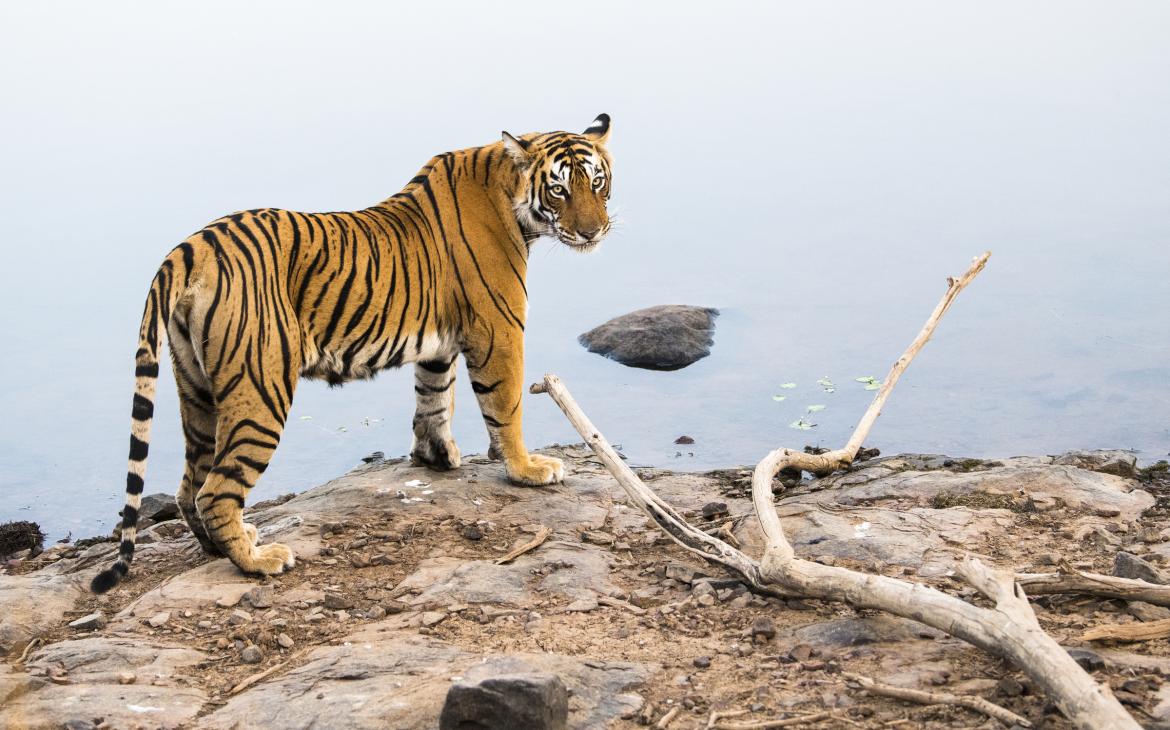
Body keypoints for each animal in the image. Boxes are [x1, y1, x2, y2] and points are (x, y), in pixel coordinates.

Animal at [91, 112, 613, 594]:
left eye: (597, 182)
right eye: (559, 190)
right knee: (216, 491)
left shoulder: (440, 339)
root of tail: (190, 247)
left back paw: (225, 546)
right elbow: (505, 406)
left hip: (197, 390)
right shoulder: (499, 329)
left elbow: (433, 397)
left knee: (189, 487)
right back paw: (259, 560)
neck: (508, 191)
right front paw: (527, 469)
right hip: (260, 390)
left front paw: (436, 457)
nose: (594, 233)